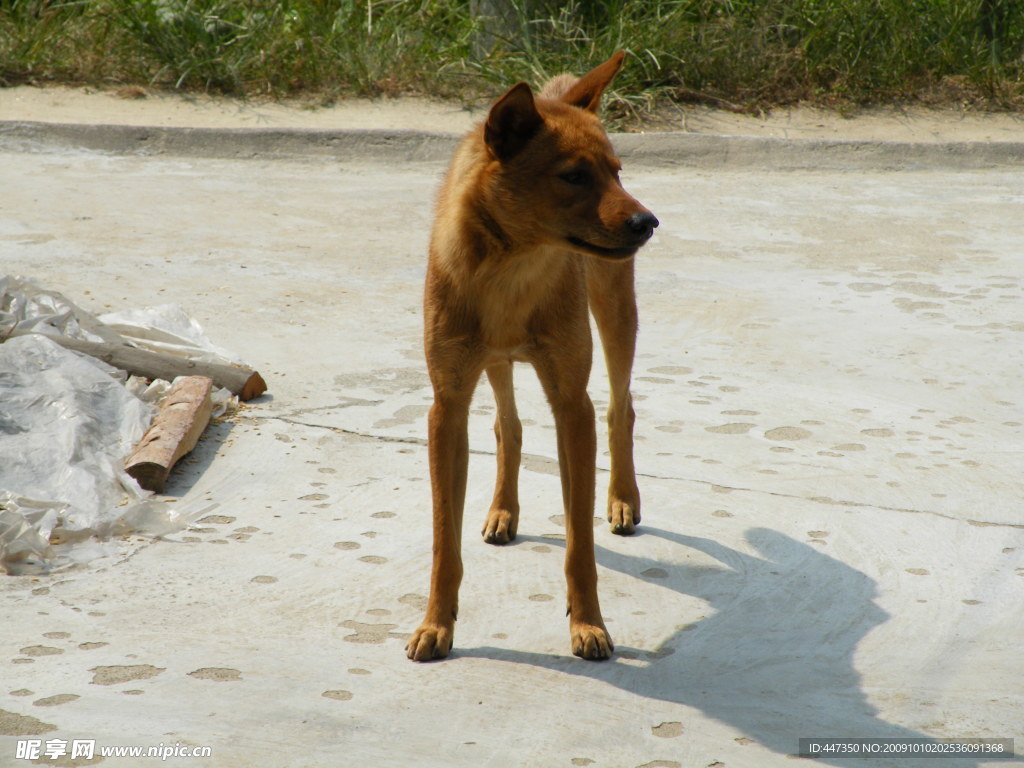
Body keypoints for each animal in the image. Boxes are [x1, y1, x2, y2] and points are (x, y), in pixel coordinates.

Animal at [405, 52, 655, 663]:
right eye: (574, 176)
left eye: (617, 172)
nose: (648, 222)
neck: (511, 271)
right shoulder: (446, 408)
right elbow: (444, 541)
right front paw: (437, 624)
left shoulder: (572, 404)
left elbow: (579, 545)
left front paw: (588, 624)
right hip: (494, 364)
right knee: (508, 426)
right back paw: (503, 509)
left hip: (617, 317)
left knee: (621, 407)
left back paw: (622, 499)